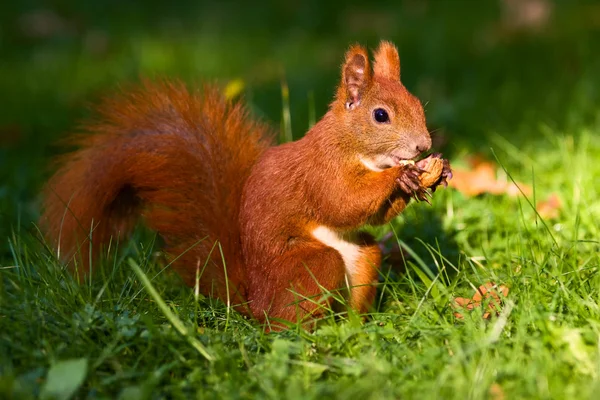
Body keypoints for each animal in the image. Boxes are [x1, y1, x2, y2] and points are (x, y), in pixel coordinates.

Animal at [38, 40, 450, 330]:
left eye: (418, 104)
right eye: (380, 115)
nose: (423, 146)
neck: (354, 147)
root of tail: (254, 303)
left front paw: (434, 172)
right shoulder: (320, 170)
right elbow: (342, 202)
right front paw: (401, 176)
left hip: (363, 257)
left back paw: (354, 330)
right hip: (310, 266)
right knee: (286, 324)